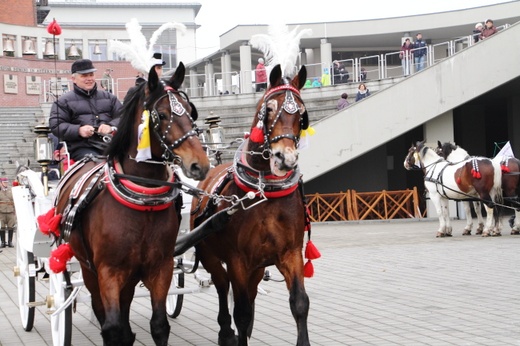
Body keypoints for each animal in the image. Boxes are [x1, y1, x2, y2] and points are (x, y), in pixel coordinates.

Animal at [51, 62, 209, 346]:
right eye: (162, 115)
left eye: (190, 111)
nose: (199, 164)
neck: (144, 202)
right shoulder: (108, 272)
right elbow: (112, 328)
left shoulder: (161, 267)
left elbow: (159, 325)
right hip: (88, 268)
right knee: (101, 311)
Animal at [191, 65, 312, 346]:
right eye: (269, 109)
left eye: (301, 114)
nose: (286, 158)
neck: (263, 189)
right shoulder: (237, 259)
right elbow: (242, 312)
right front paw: (235, 330)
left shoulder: (290, 252)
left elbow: (300, 303)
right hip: (210, 254)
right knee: (222, 285)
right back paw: (225, 331)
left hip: (257, 267)